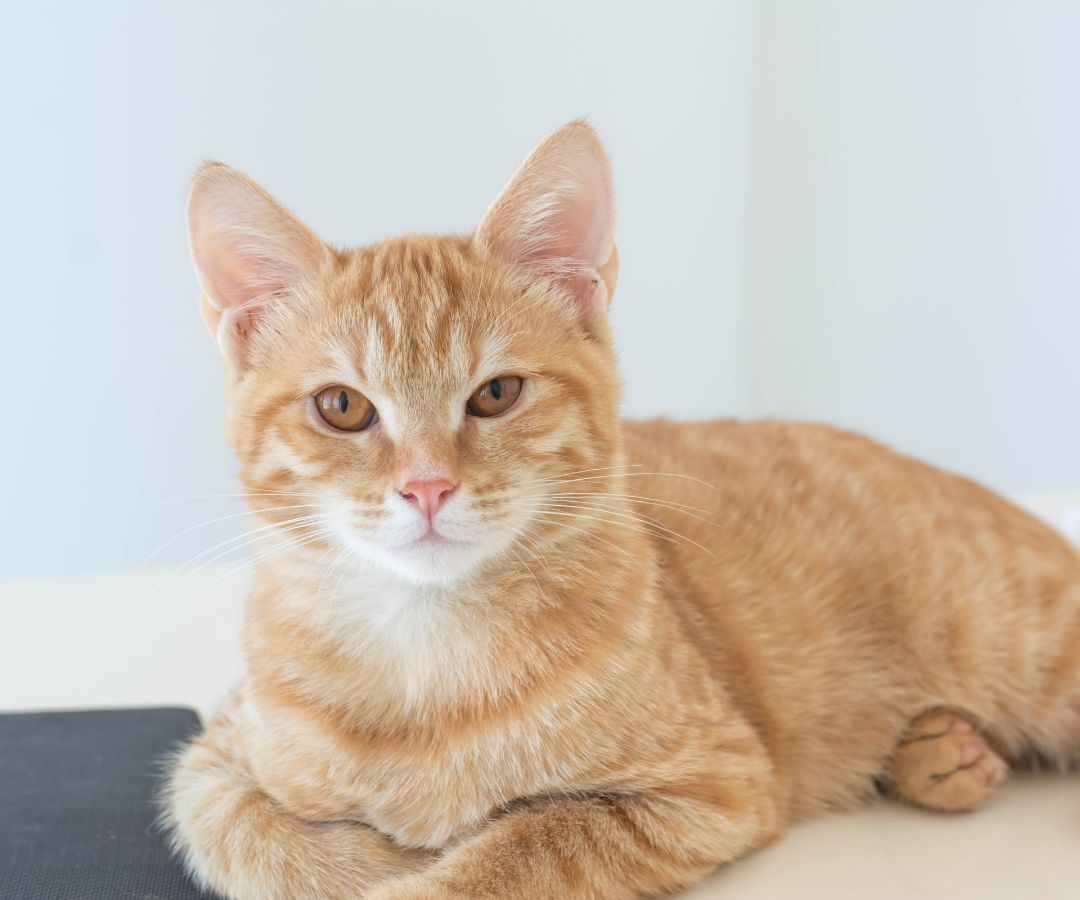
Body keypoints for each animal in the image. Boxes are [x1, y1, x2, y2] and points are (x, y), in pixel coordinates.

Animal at [162, 121, 1080, 898]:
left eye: (496, 394)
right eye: (343, 408)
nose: (426, 486)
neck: (425, 651)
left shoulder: (715, 783)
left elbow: (522, 844)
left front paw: (430, 861)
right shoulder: (213, 758)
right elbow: (248, 831)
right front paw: (378, 852)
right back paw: (945, 752)